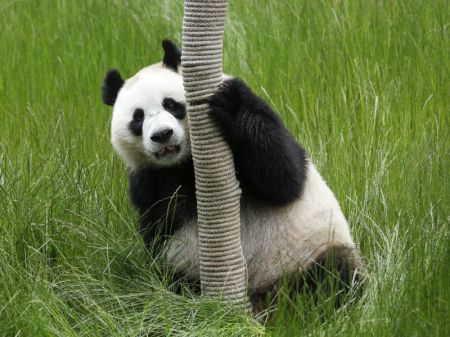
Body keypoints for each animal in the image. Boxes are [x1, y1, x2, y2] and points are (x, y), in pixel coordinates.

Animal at [101, 40, 362, 304]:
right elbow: (158, 224)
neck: (184, 162)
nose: (163, 134)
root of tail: (264, 296)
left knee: (335, 272)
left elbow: (284, 177)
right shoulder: (148, 179)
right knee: (171, 279)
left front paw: (230, 102)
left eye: (171, 105)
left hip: (305, 250)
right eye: (138, 117)